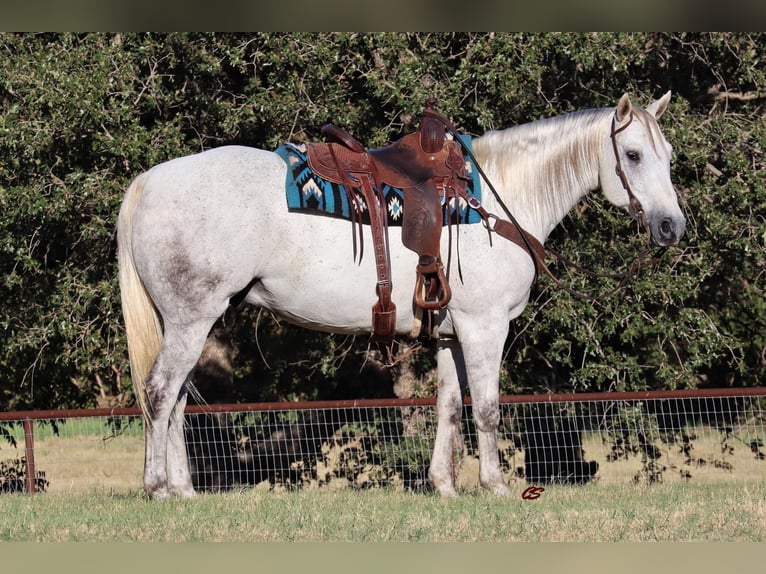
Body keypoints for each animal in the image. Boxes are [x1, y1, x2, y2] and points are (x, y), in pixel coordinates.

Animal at [120, 93, 688, 500]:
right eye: (633, 155)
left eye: (669, 157)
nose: (671, 226)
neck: (498, 200)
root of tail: (149, 180)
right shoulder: (485, 327)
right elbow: (487, 409)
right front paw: (496, 486)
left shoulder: (451, 334)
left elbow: (449, 408)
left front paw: (444, 487)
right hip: (191, 320)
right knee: (160, 392)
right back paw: (158, 488)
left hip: (194, 323)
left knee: (176, 400)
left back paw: (185, 490)